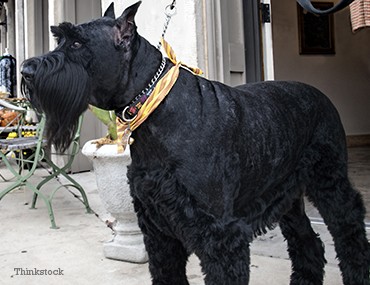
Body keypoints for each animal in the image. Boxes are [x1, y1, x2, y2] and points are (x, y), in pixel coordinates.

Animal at [21, 2, 370, 284]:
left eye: (77, 42)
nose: (25, 69)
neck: (154, 106)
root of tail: (320, 95)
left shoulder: (220, 236)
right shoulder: (157, 230)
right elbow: (166, 274)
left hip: (330, 182)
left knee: (349, 229)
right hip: (286, 195)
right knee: (308, 241)